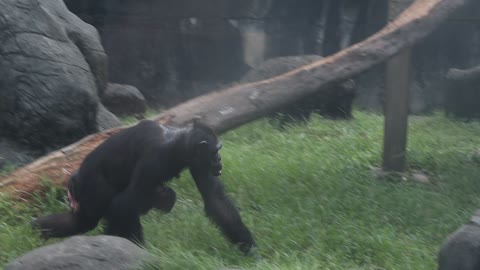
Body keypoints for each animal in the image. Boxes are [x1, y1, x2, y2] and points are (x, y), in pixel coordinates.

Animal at [31, 119, 256, 255]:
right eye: (216, 151)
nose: (219, 161)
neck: (179, 144)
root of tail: (76, 177)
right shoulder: (154, 159)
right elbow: (123, 204)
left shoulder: (199, 163)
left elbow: (215, 199)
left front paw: (250, 249)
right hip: (93, 185)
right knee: (104, 213)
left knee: (80, 221)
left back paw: (36, 229)